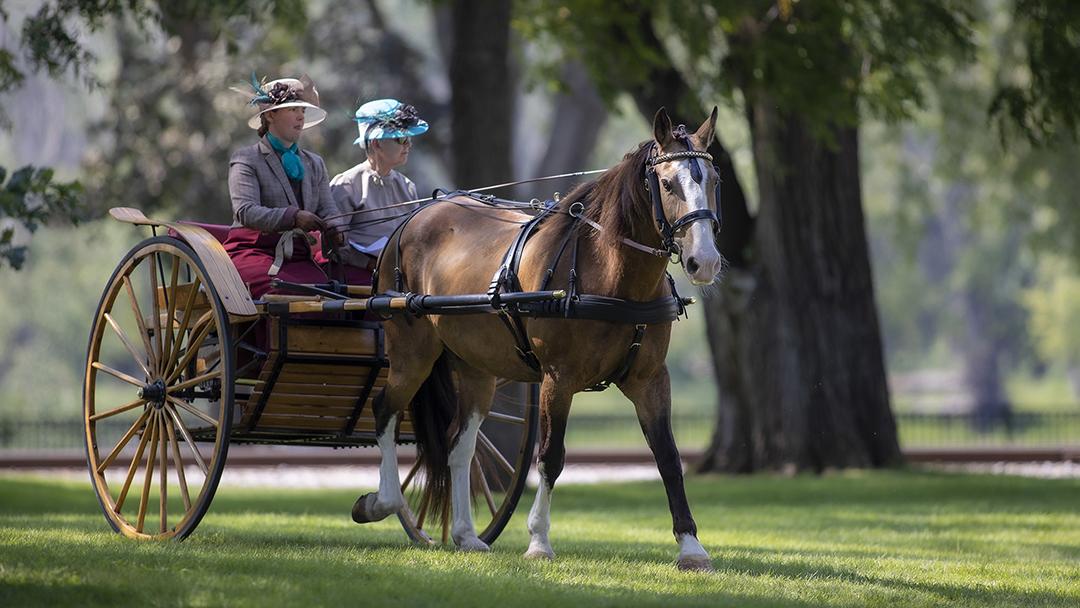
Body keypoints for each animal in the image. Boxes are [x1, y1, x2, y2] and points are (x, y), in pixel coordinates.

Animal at [354, 106, 725, 570]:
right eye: (668, 183)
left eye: (714, 181)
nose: (704, 261)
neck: (611, 274)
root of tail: (415, 216)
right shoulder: (557, 380)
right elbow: (550, 456)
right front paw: (538, 540)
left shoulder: (651, 380)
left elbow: (668, 457)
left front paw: (691, 546)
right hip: (412, 352)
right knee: (384, 409)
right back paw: (381, 501)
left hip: (475, 368)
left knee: (459, 446)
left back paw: (465, 534)